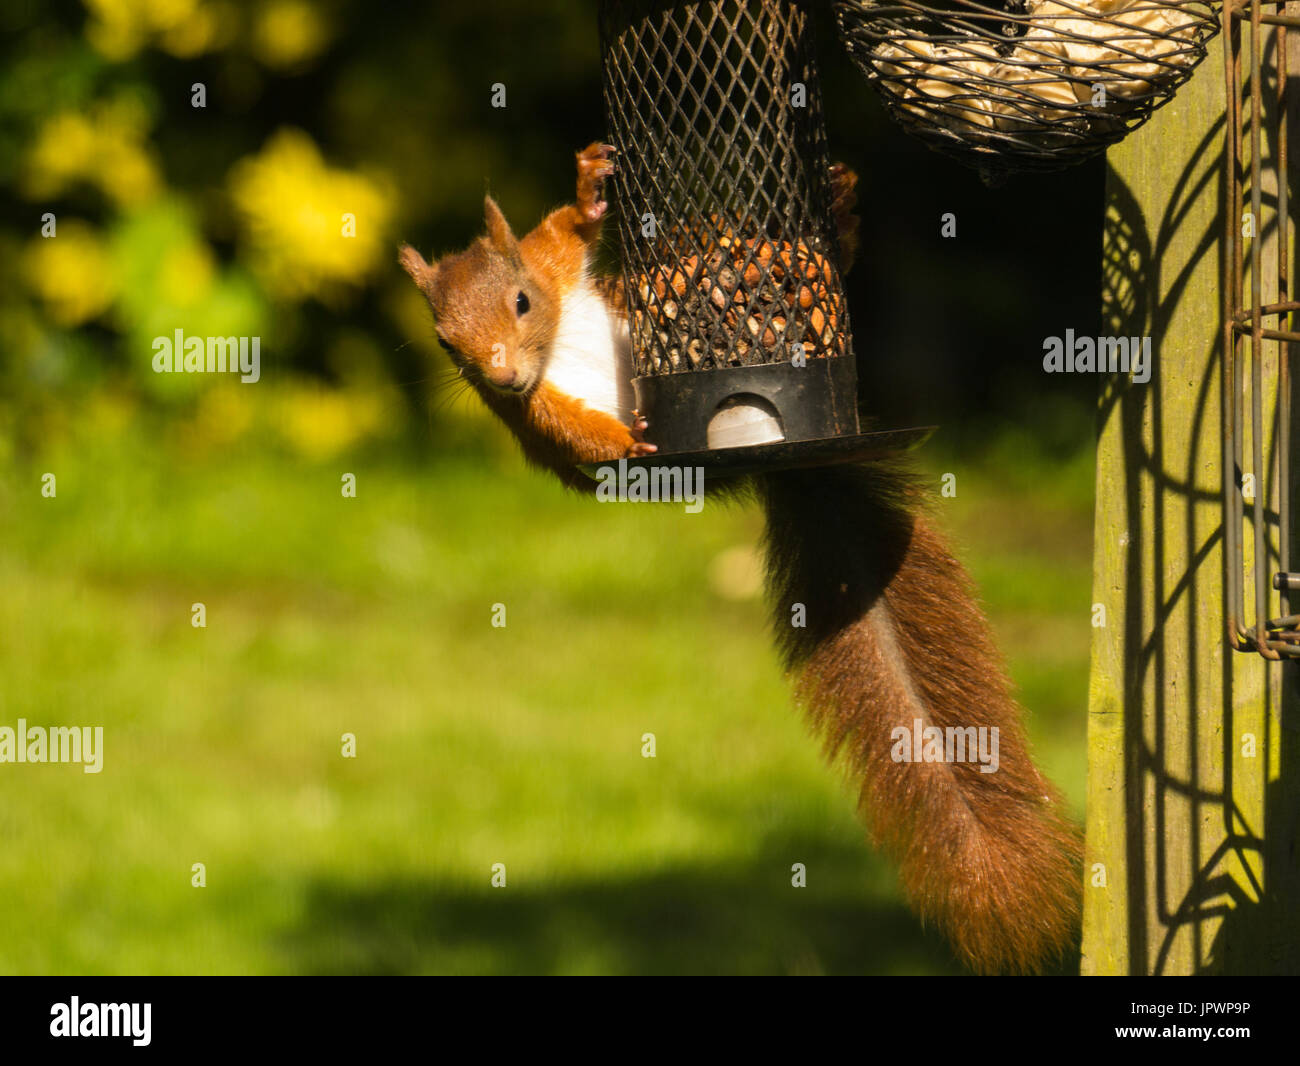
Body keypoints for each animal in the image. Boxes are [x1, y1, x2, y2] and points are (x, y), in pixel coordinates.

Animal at [397, 143, 1086, 972]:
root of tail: (784, 454)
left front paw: (591, 189)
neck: (555, 347)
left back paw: (835, 213)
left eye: (524, 301)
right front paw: (627, 442)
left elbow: (564, 231)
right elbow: (581, 439)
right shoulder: (538, 419)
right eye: (445, 343)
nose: (500, 376)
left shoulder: (553, 266)